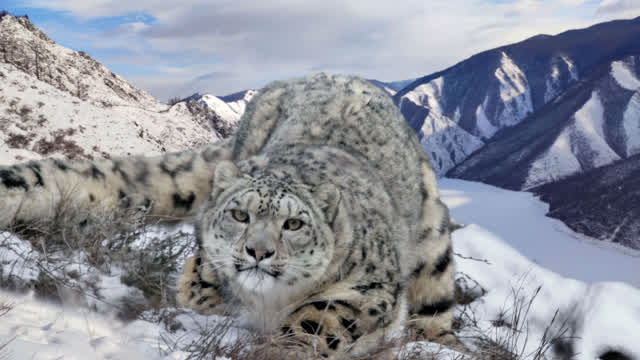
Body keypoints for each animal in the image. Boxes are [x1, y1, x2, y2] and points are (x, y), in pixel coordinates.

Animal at [2, 73, 458, 358]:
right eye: (240, 215)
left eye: (294, 224)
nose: (258, 252)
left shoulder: (371, 287)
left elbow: (320, 319)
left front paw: (283, 346)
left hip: (432, 237)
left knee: (434, 302)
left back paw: (442, 342)